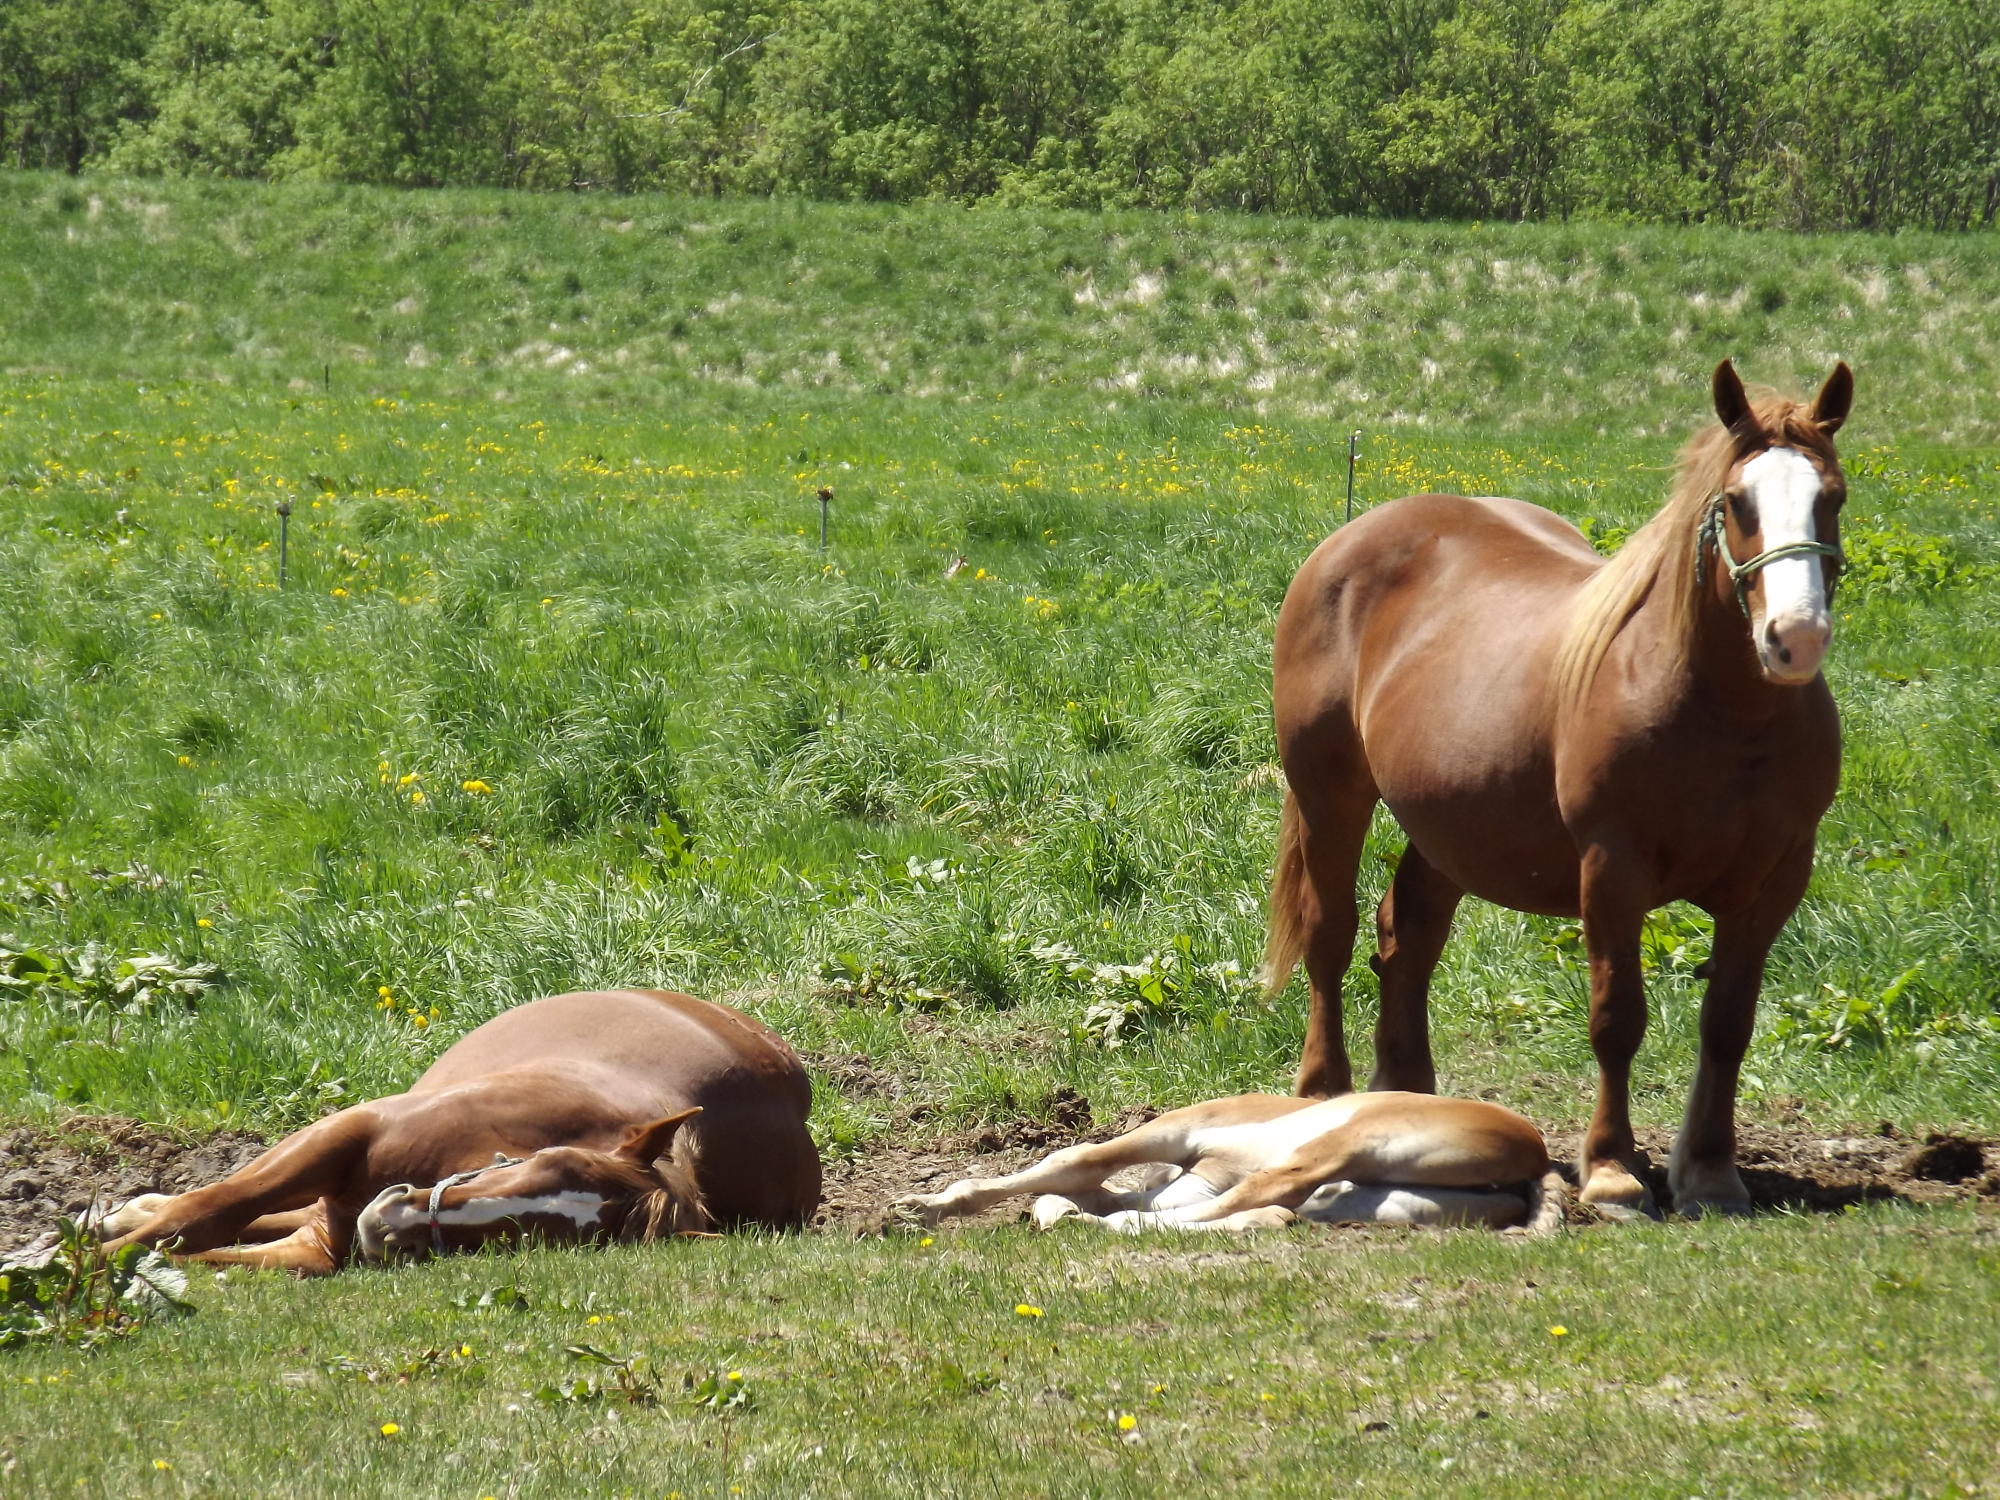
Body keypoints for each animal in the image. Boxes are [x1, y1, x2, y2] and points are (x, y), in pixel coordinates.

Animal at [90, 989, 821, 1275]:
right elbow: (209, 1211)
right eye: (534, 1162)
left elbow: (203, 1246)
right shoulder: (345, 1131)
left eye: (530, 1241)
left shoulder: (320, 1249)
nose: (390, 1223)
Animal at [1264, 359, 1852, 1219]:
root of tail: (1349, 540)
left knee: (1407, 936)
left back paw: (1408, 1096)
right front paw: (1612, 1170)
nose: (1795, 638)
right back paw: (1322, 1092)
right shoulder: (1611, 871)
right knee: (1330, 935)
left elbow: (1727, 1025)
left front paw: (1710, 1173)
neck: (1720, 713)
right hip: (1328, 795)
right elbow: (1617, 1019)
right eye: (1737, 502)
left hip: (1452, 826)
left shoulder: (1773, 883)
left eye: (1831, 496)